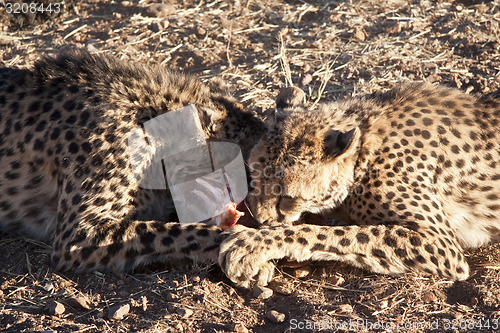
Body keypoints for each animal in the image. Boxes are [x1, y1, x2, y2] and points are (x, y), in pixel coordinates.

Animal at [221, 81, 500, 286]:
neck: (365, 149)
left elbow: (341, 233)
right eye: (253, 175)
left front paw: (249, 244)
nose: (260, 219)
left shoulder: (441, 245)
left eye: (287, 197)